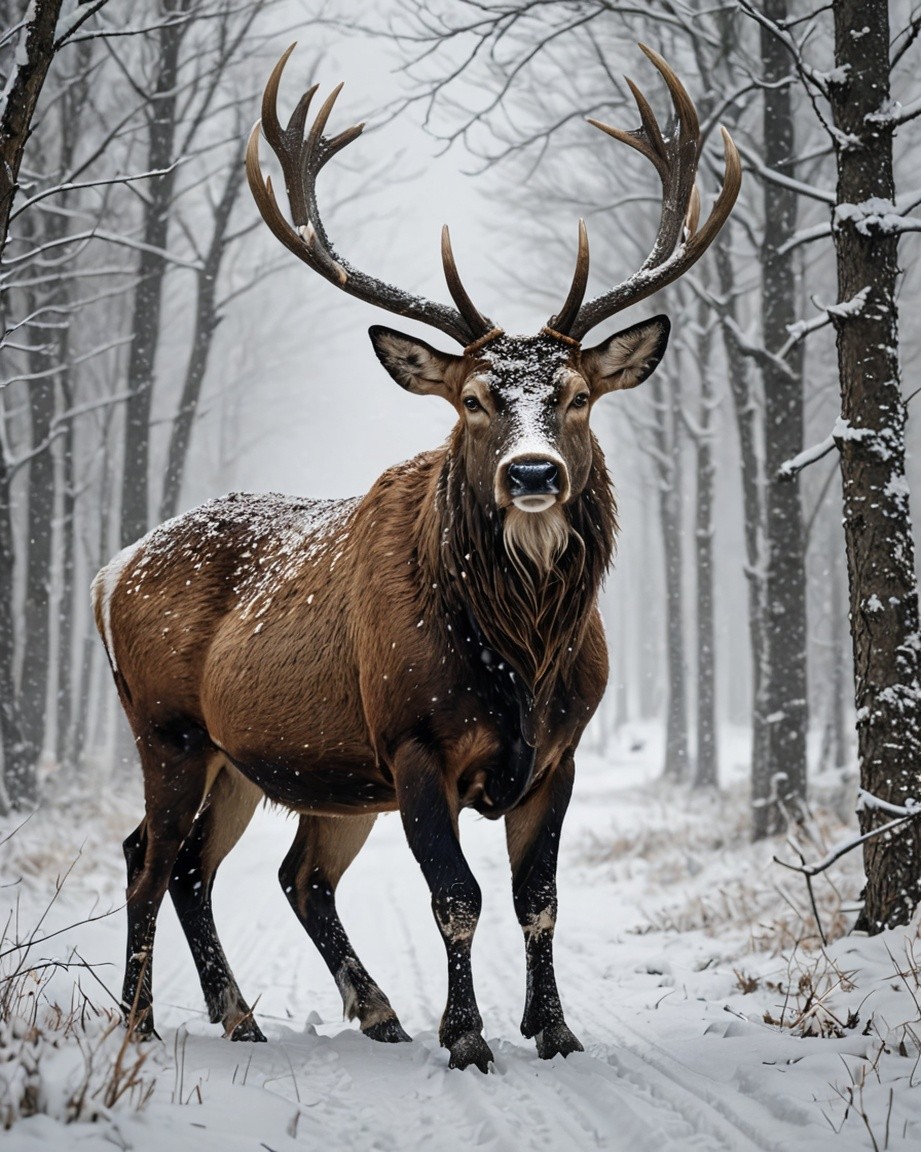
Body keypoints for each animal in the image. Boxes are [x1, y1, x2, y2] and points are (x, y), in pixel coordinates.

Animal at [93, 43, 739, 1072]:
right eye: (473, 399)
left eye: (575, 394)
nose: (531, 472)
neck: (521, 656)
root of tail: (109, 571)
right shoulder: (411, 742)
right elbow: (456, 898)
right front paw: (467, 1035)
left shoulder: (560, 752)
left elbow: (538, 900)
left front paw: (552, 1029)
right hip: (168, 727)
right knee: (148, 859)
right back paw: (141, 1023)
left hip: (276, 762)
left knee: (242, 868)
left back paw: (291, 1013)